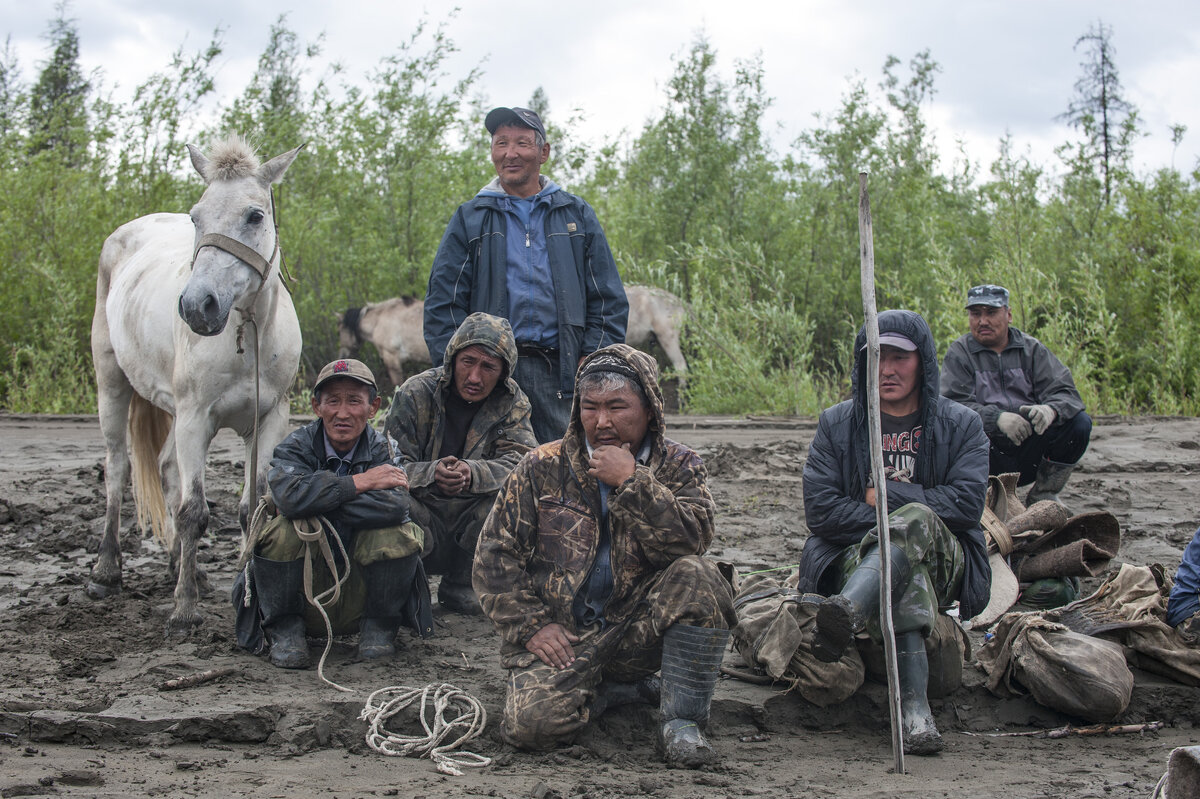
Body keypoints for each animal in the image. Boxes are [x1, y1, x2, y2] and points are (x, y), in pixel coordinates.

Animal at [89, 138, 304, 633]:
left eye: (255, 216)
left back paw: (178, 566)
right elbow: (194, 513)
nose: (196, 306)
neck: (247, 334)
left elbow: (251, 508)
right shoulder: (195, 420)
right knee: (117, 468)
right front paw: (184, 609)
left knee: (168, 470)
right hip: (112, 383)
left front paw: (247, 588)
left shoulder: (269, 420)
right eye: (196, 217)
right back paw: (108, 570)